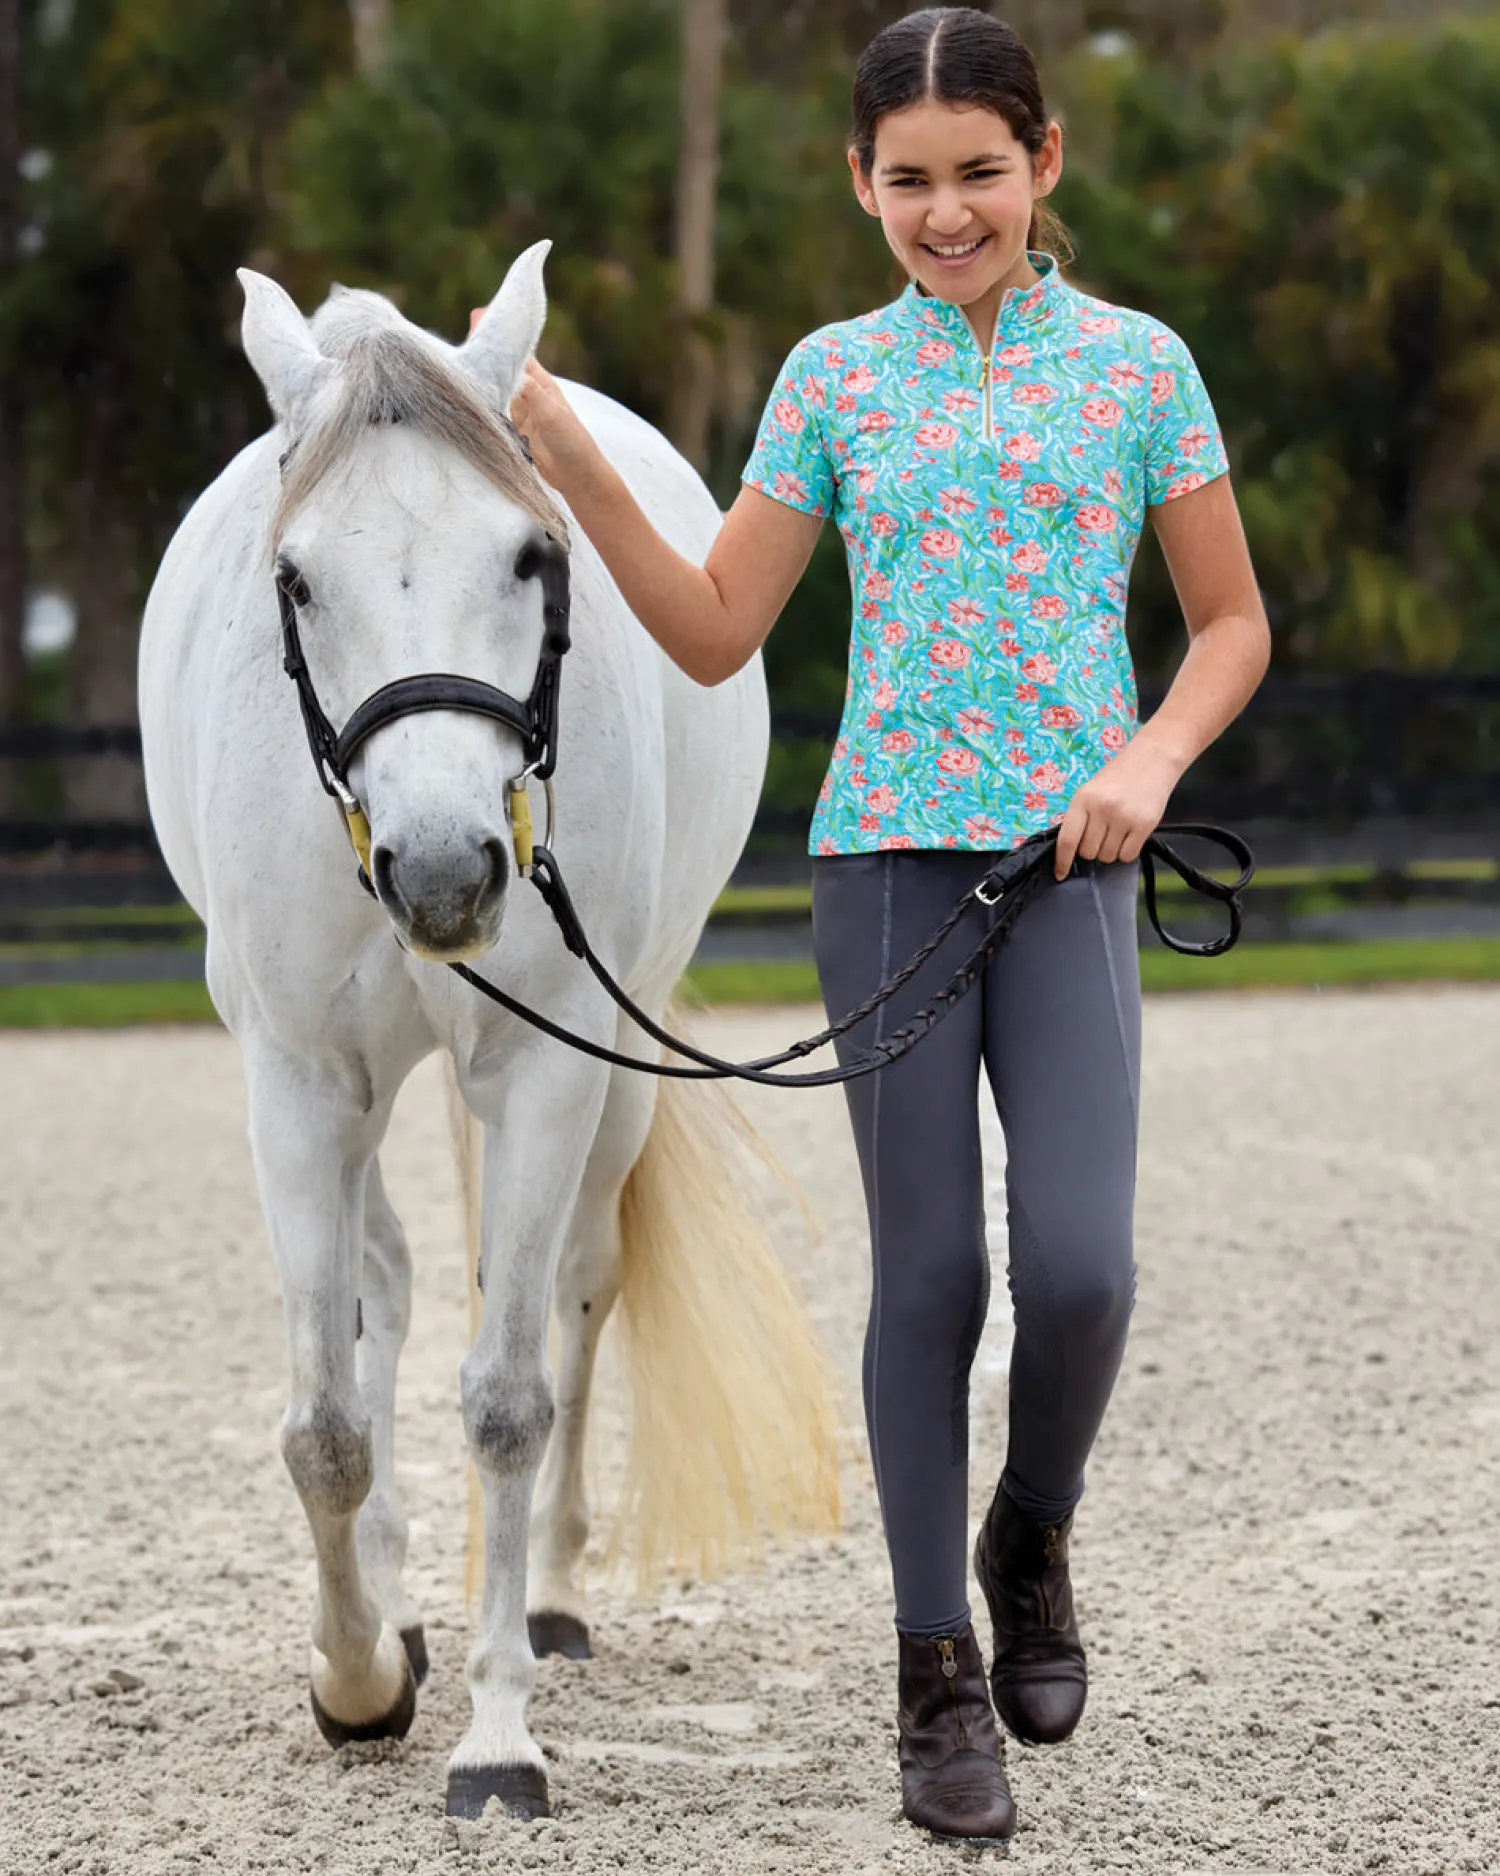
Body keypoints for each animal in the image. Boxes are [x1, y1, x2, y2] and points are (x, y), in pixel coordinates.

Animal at [137, 242, 839, 1820]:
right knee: (383, 1293)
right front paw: (356, 1679)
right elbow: (325, 1420)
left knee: (578, 1288)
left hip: (617, 1076)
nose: (449, 869)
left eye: (533, 557)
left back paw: (552, 1603)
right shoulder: (298, 1084)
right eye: (295, 577)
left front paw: (497, 1734)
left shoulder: (547, 1069)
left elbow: (511, 1398)